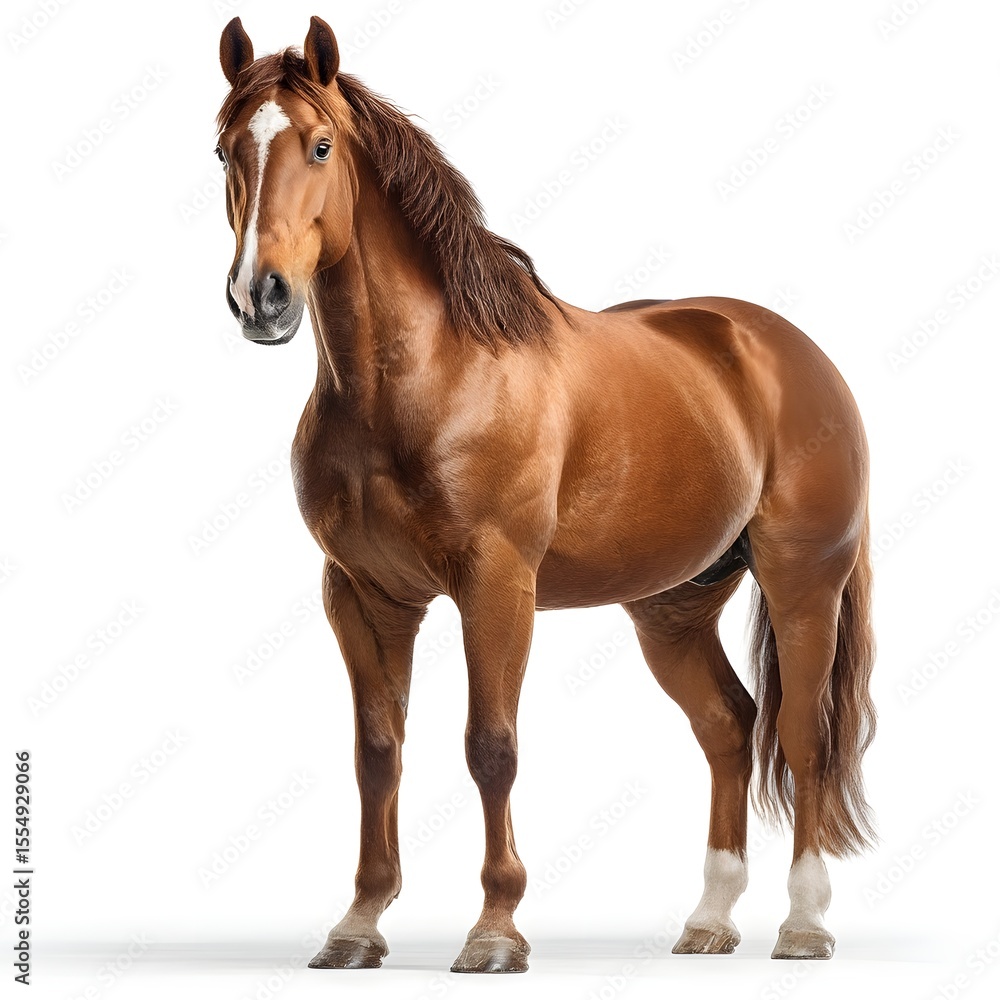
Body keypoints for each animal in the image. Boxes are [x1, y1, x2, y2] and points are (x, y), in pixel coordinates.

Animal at [214, 15, 876, 974]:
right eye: (223, 149)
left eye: (321, 144)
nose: (260, 296)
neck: (425, 377)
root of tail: (791, 352)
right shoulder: (364, 595)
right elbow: (378, 752)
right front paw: (359, 925)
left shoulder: (496, 586)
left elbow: (491, 747)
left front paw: (495, 931)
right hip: (672, 607)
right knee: (728, 726)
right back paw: (710, 920)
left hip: (803, 586)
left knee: (802, 735)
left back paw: (804, 924)